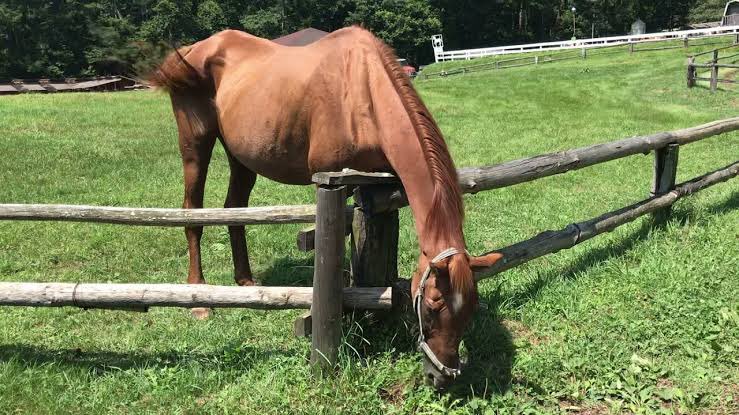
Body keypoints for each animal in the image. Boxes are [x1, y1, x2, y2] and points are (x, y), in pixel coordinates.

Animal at [150, 26, 502, 389]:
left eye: (471, 306)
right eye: (433, 305)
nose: (441, 376)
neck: (363, 91)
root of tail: (195, 50)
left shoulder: (379, 180)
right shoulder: (331, 179)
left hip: (242, 156)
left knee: (235, 210)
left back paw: (246, 282)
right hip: (195, 143)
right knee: (193, 214)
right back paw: (198, 298)